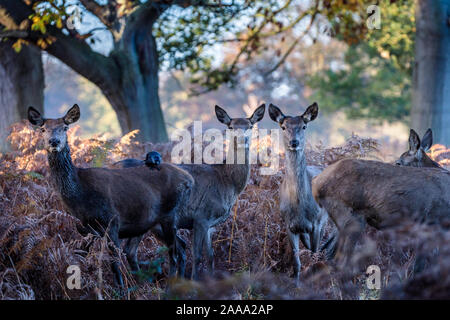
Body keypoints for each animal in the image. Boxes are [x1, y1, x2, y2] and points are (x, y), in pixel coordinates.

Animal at [26, 104, 193, 284]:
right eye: (43, 129)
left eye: (65, 127)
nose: (54, 141)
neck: (80, 196)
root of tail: (188, 178)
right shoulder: (84, 229)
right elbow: (80, 256)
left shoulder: (112, 220)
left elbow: (114, 263)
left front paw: (120, 287)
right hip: (151, 222)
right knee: (175, 246)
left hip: (164, 216)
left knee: (172, 252)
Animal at [268, 102, 326, 282]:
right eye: (283, 127)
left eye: (304, 126)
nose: (294, 142)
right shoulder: (289, 225)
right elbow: (296, 262)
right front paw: (297, 284)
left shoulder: (316, 222)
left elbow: (314, 256)